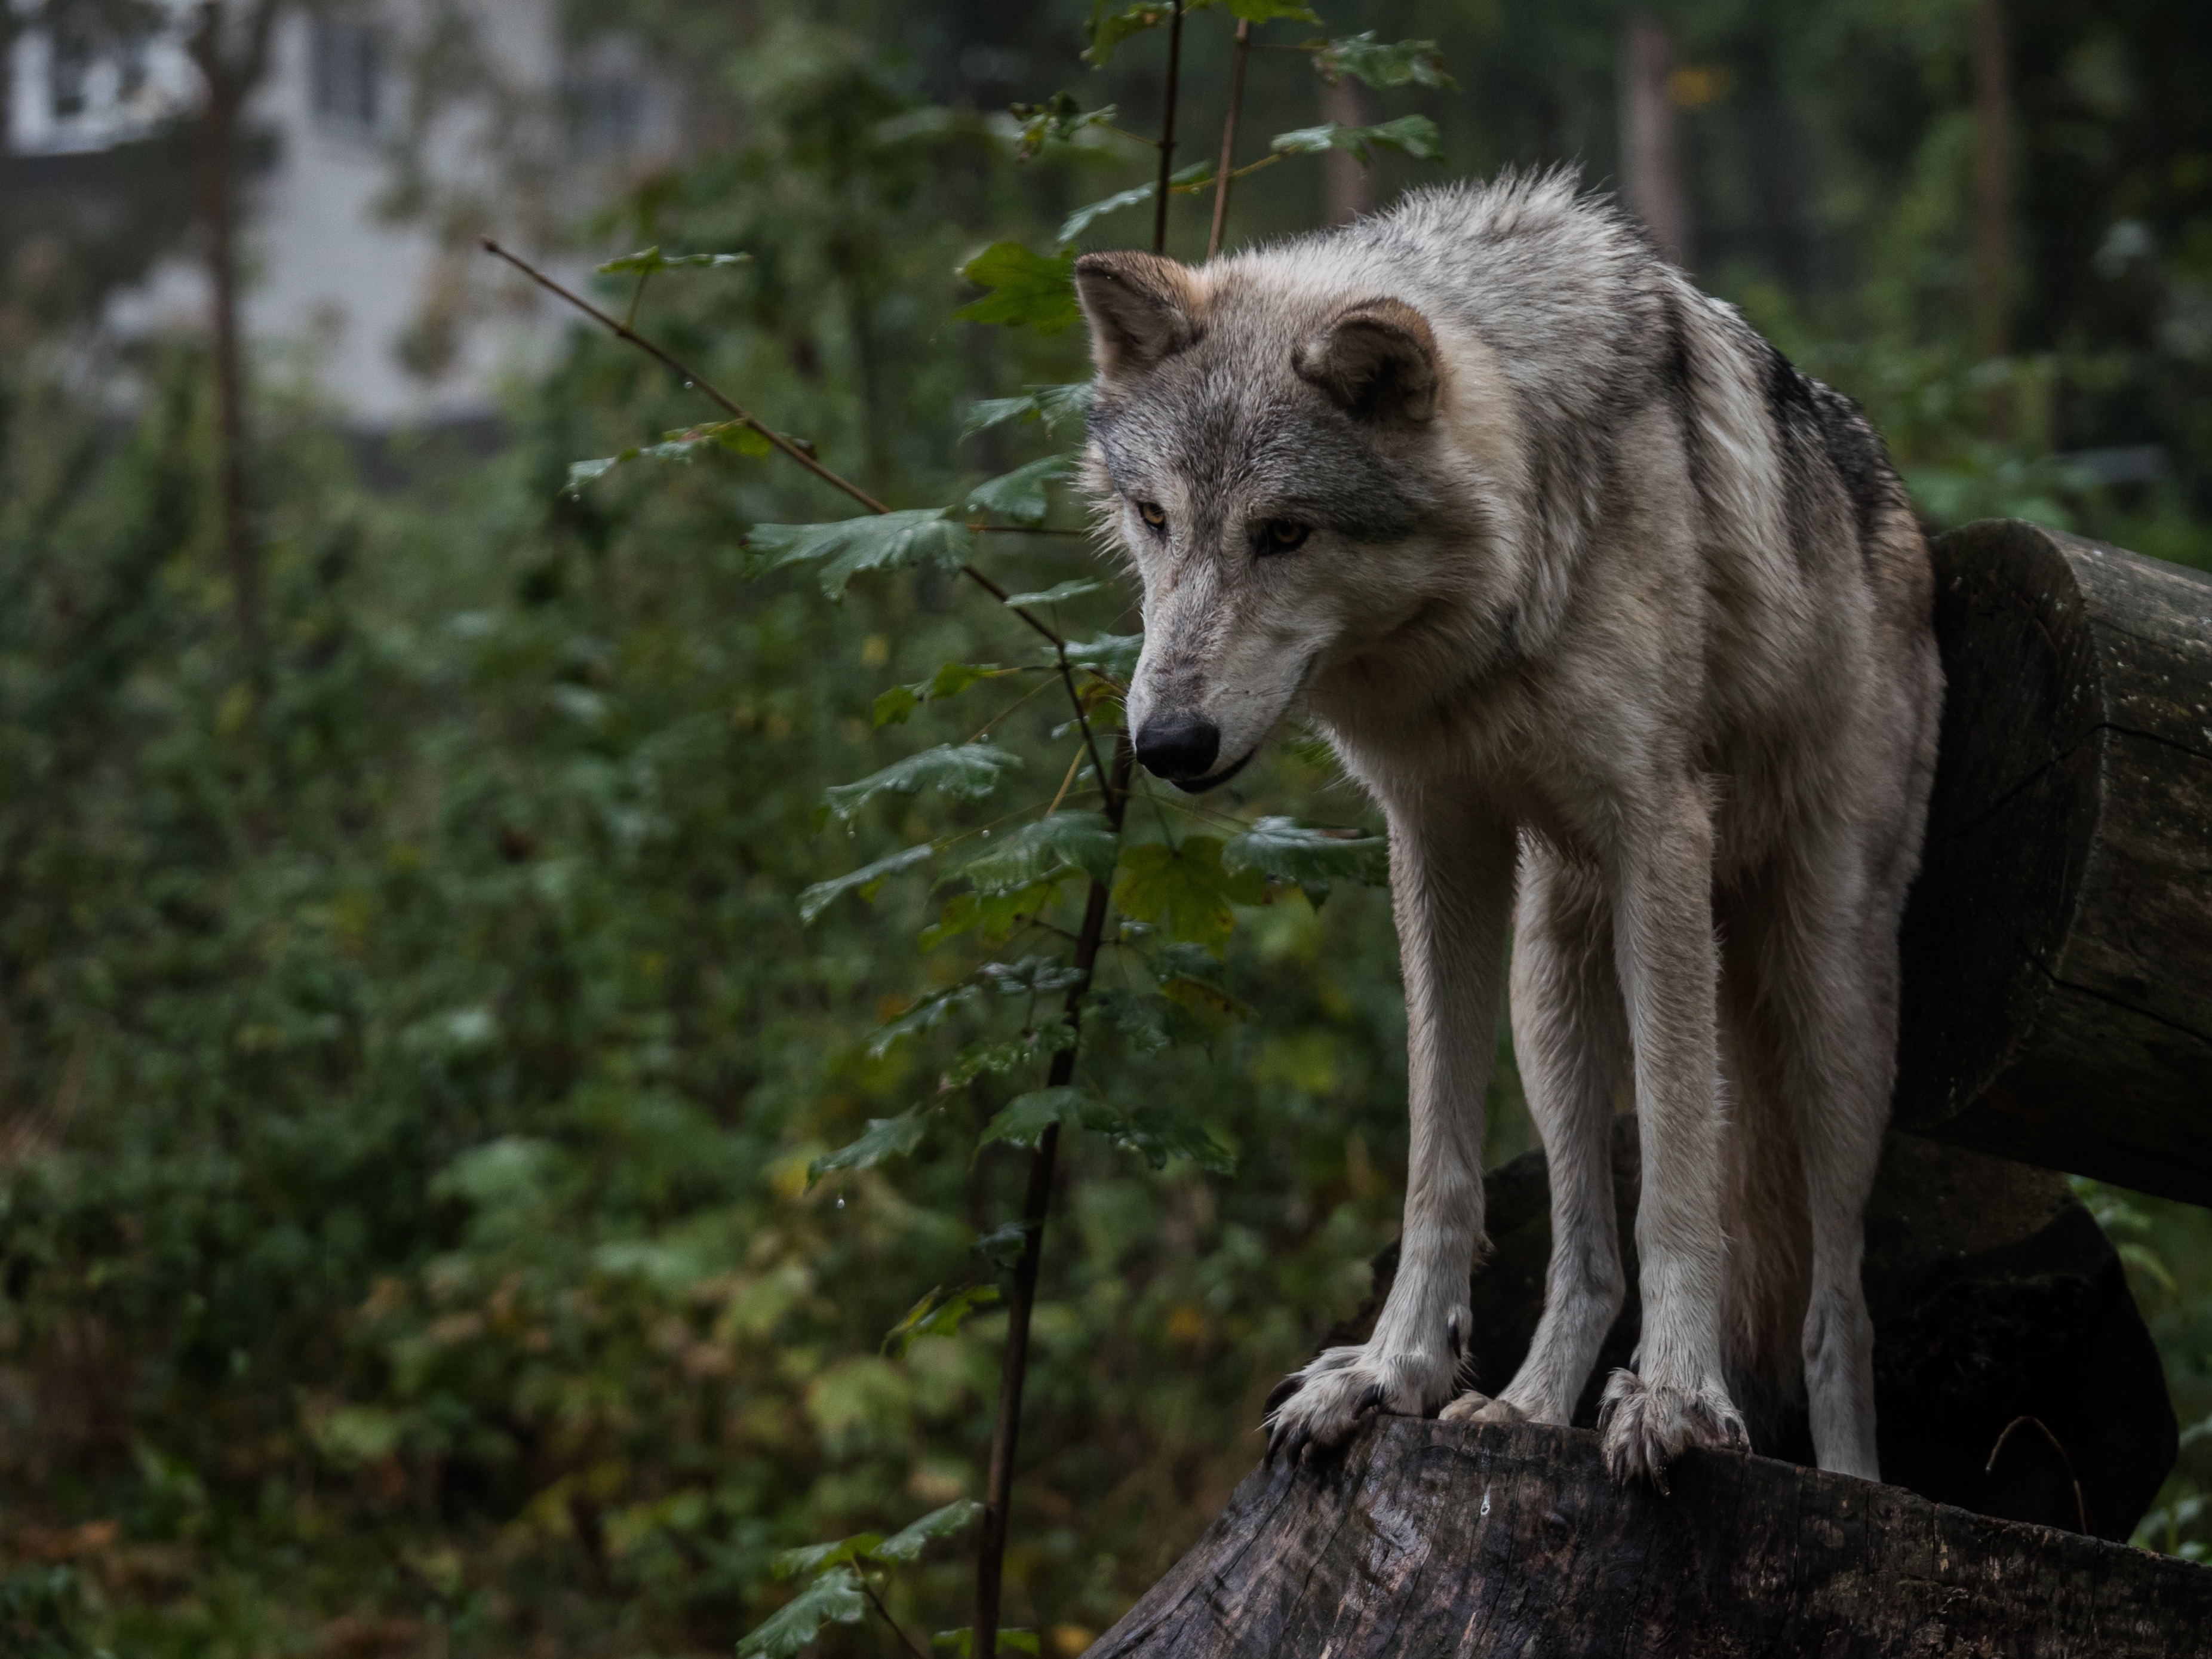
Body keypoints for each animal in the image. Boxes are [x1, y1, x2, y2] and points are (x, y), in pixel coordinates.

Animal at [1070, 172, 1937, 1495]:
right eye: (1154, 517)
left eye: (1285, 531)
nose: (1165, 743)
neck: (1486, 625)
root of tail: (1894, 499)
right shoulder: (1437, 844)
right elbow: (1437, 1161)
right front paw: (1392, 1373)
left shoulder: (1656, 836)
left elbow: (1678, 1169)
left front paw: (1676, 1398)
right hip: (1548, 981)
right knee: (1582, 1253)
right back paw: (1520, 1411)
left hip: (1826, 1009)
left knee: (1835, 1310)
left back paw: (1842, 1479)